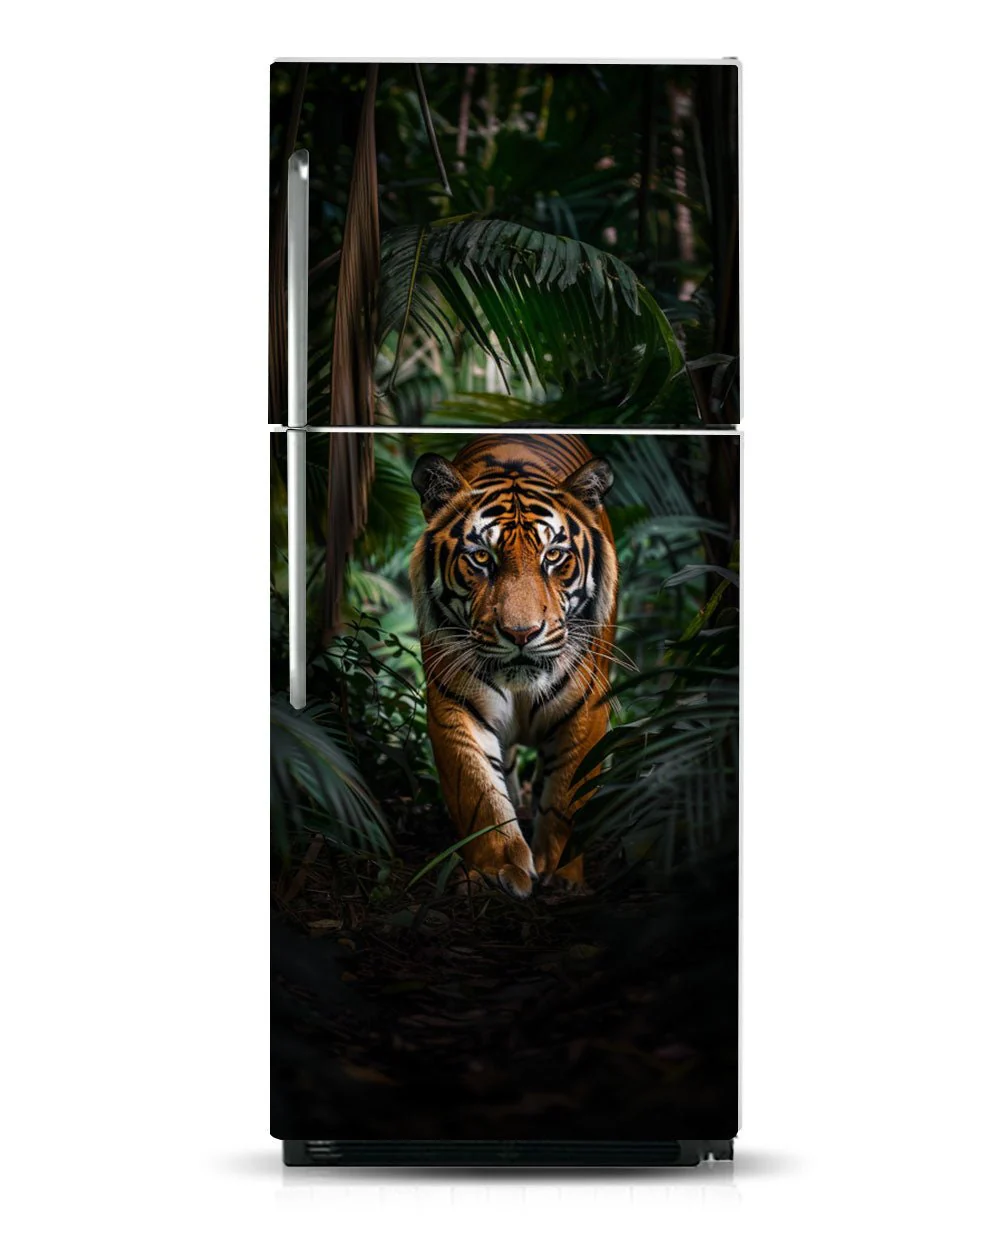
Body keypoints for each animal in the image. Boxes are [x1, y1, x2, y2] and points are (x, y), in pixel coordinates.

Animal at [409, 434, 618, 898]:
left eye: (554, 556)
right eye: (481, 558)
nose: (521, 634)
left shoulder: (586, 711)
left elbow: (566, 797)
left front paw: (558, 871)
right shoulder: (454, 706)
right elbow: (480, 793)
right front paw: (500, 870)